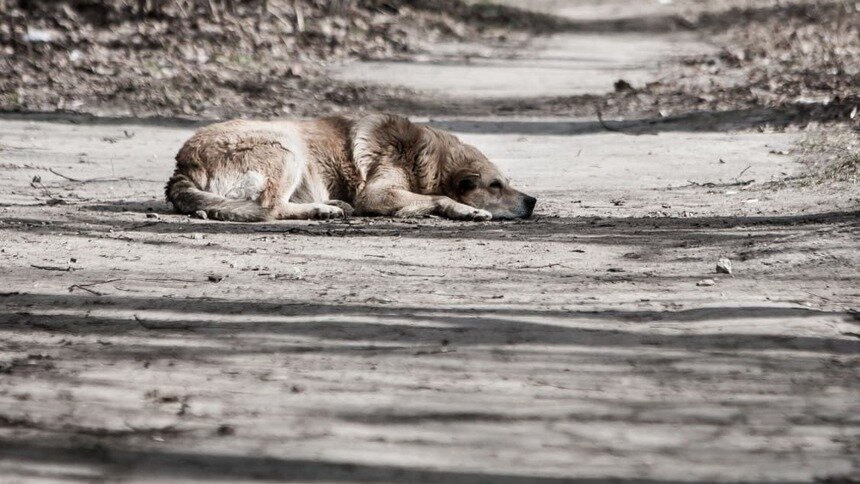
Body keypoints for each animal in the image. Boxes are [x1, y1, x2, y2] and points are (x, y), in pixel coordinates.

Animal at [165, 113, 536, 221]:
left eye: (507, 182)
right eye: (495, 186)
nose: (533, 201)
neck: (423, 158)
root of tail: (182, 166)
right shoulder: (376, 193)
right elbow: (439, 198)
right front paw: (465, 210)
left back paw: (329, 204)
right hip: (288, 145)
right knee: (271, 207)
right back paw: (322, 210)